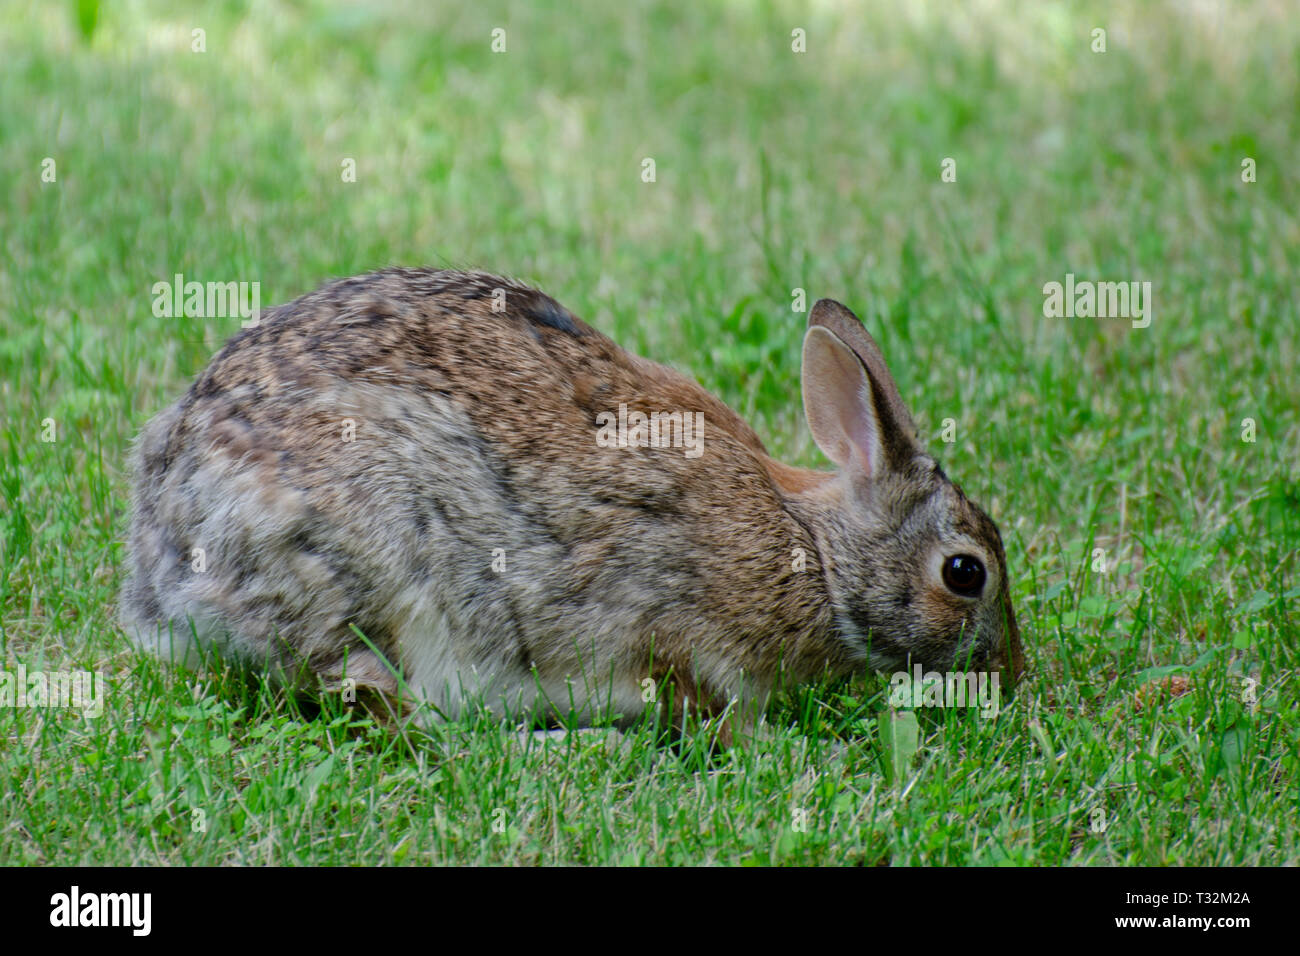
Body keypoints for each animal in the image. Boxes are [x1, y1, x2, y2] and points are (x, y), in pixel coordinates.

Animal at [121, 267, 1023, 741]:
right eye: (965, 573)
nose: (1010, 675)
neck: (817, 554)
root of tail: (158, 583)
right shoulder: (667, 622)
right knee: (385, 702)